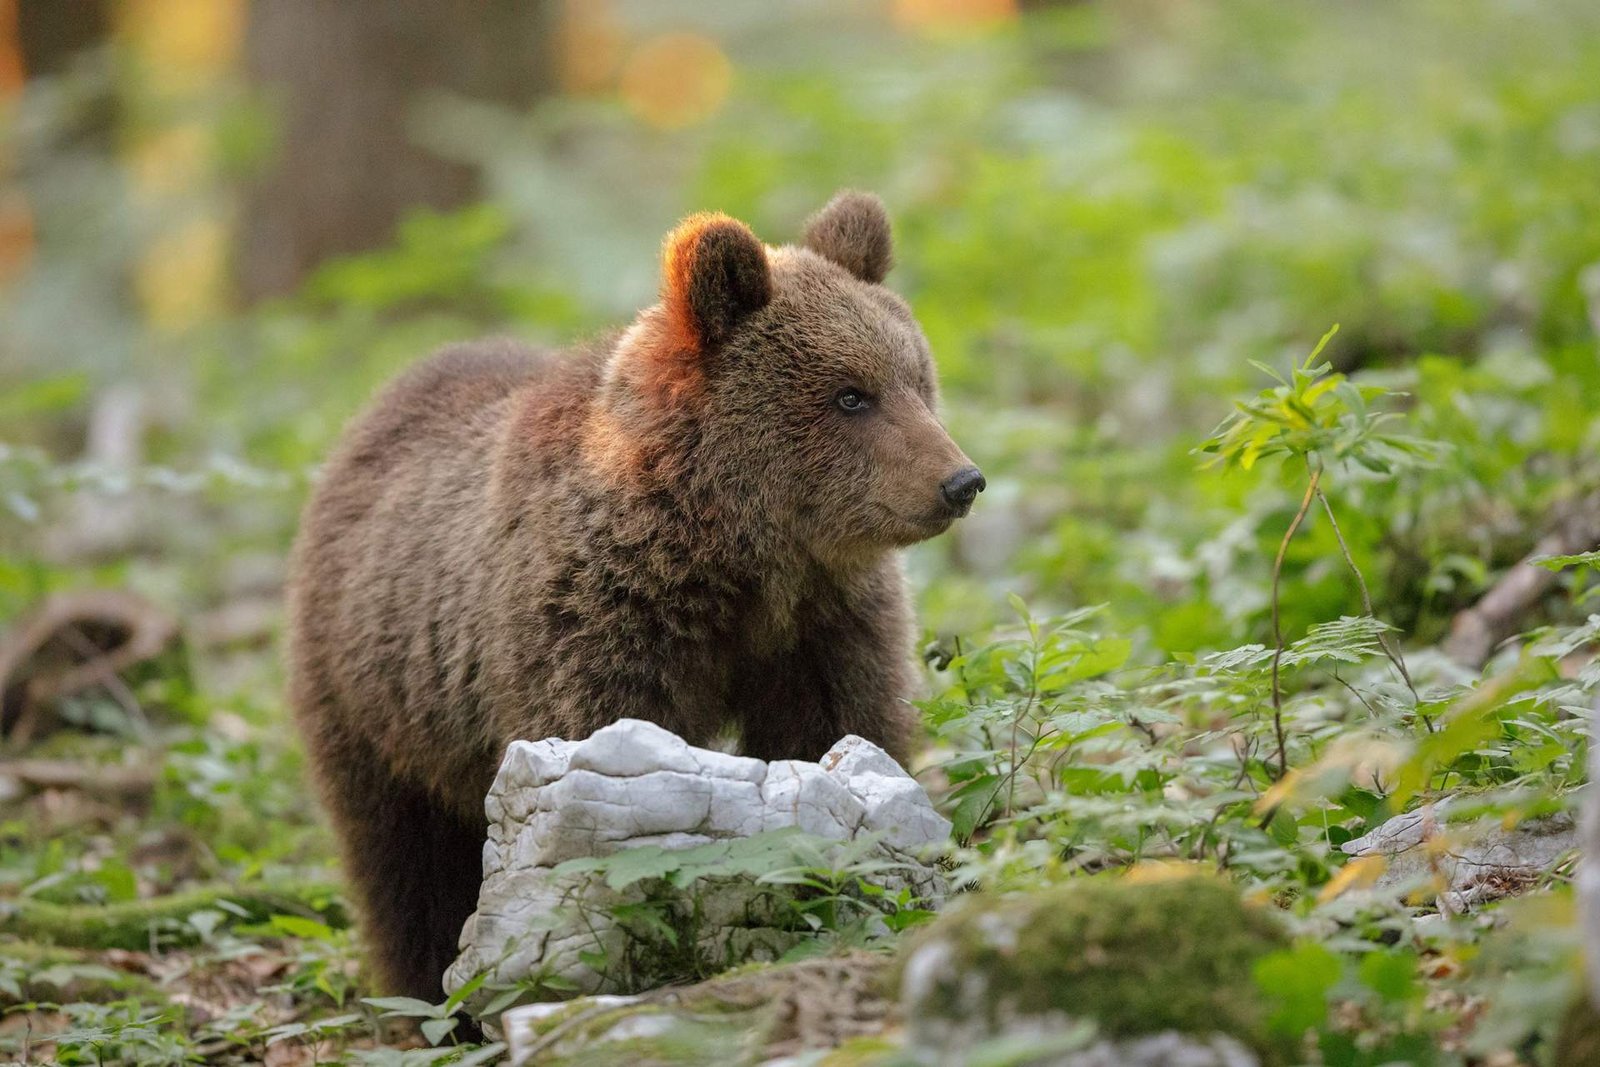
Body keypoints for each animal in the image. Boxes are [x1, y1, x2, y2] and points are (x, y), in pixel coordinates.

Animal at [291, 189, 985, 1004]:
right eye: (851, 394)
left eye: (917, 376)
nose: (961, 480)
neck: (738, 556)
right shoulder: (598, 621)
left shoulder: (823, 621)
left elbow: (837, 729)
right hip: (378, 700)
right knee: (408, 866)